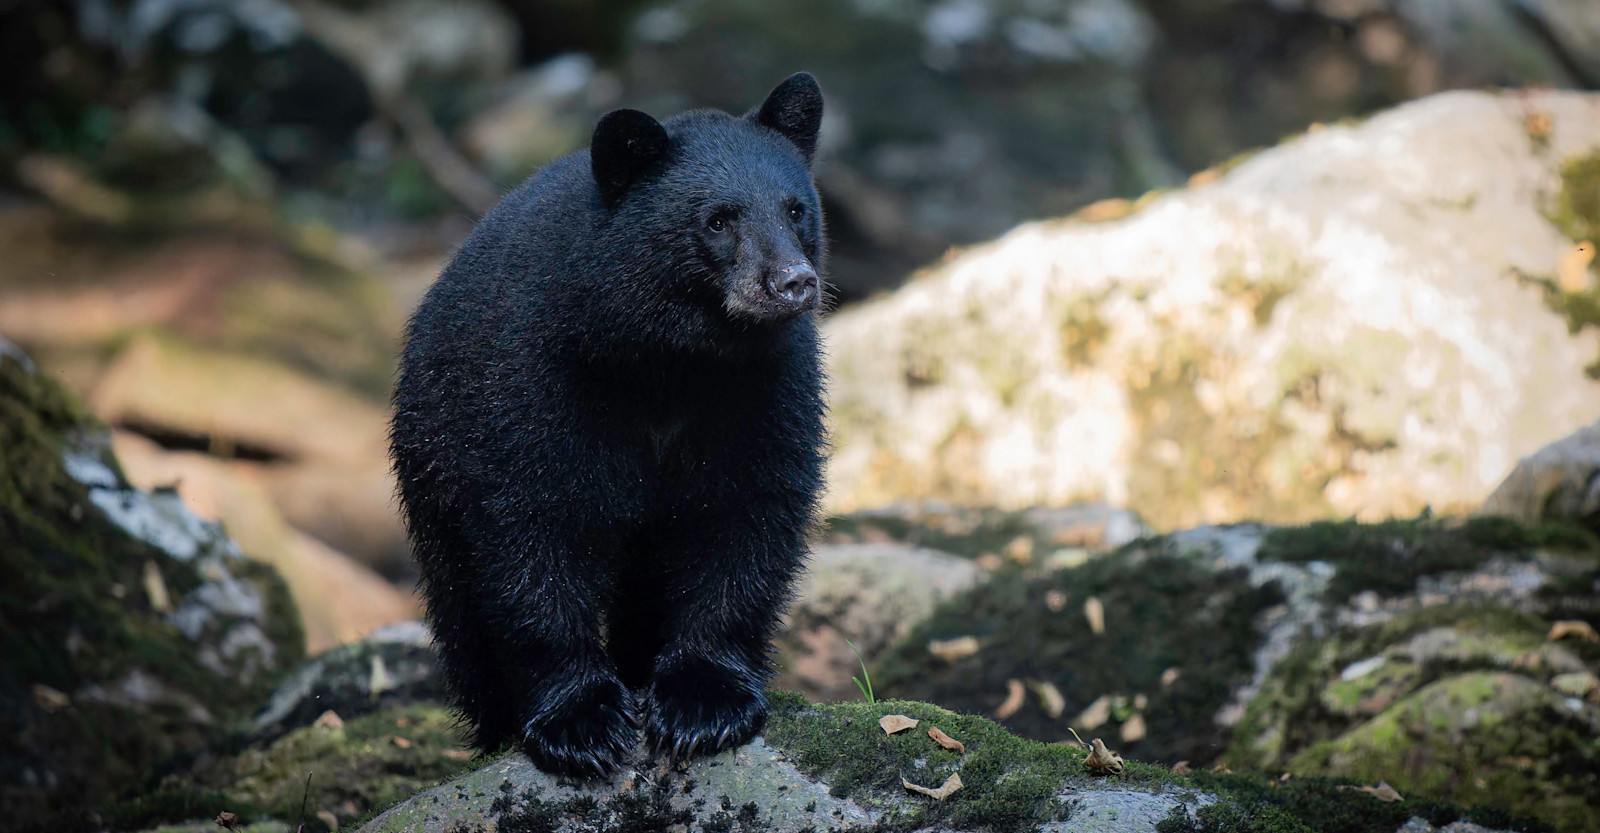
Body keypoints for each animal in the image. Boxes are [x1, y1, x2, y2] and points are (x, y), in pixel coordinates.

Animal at [389, 73, 828, 778]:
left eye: (795, 210)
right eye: (718, 219)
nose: (792, 283)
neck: (665, 362)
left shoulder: (760, 387)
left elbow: (744, 515)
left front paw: (705, 702)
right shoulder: (536, 382)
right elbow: (533, 528)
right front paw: (581, 722)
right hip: (432, 462)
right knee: (465, 623)